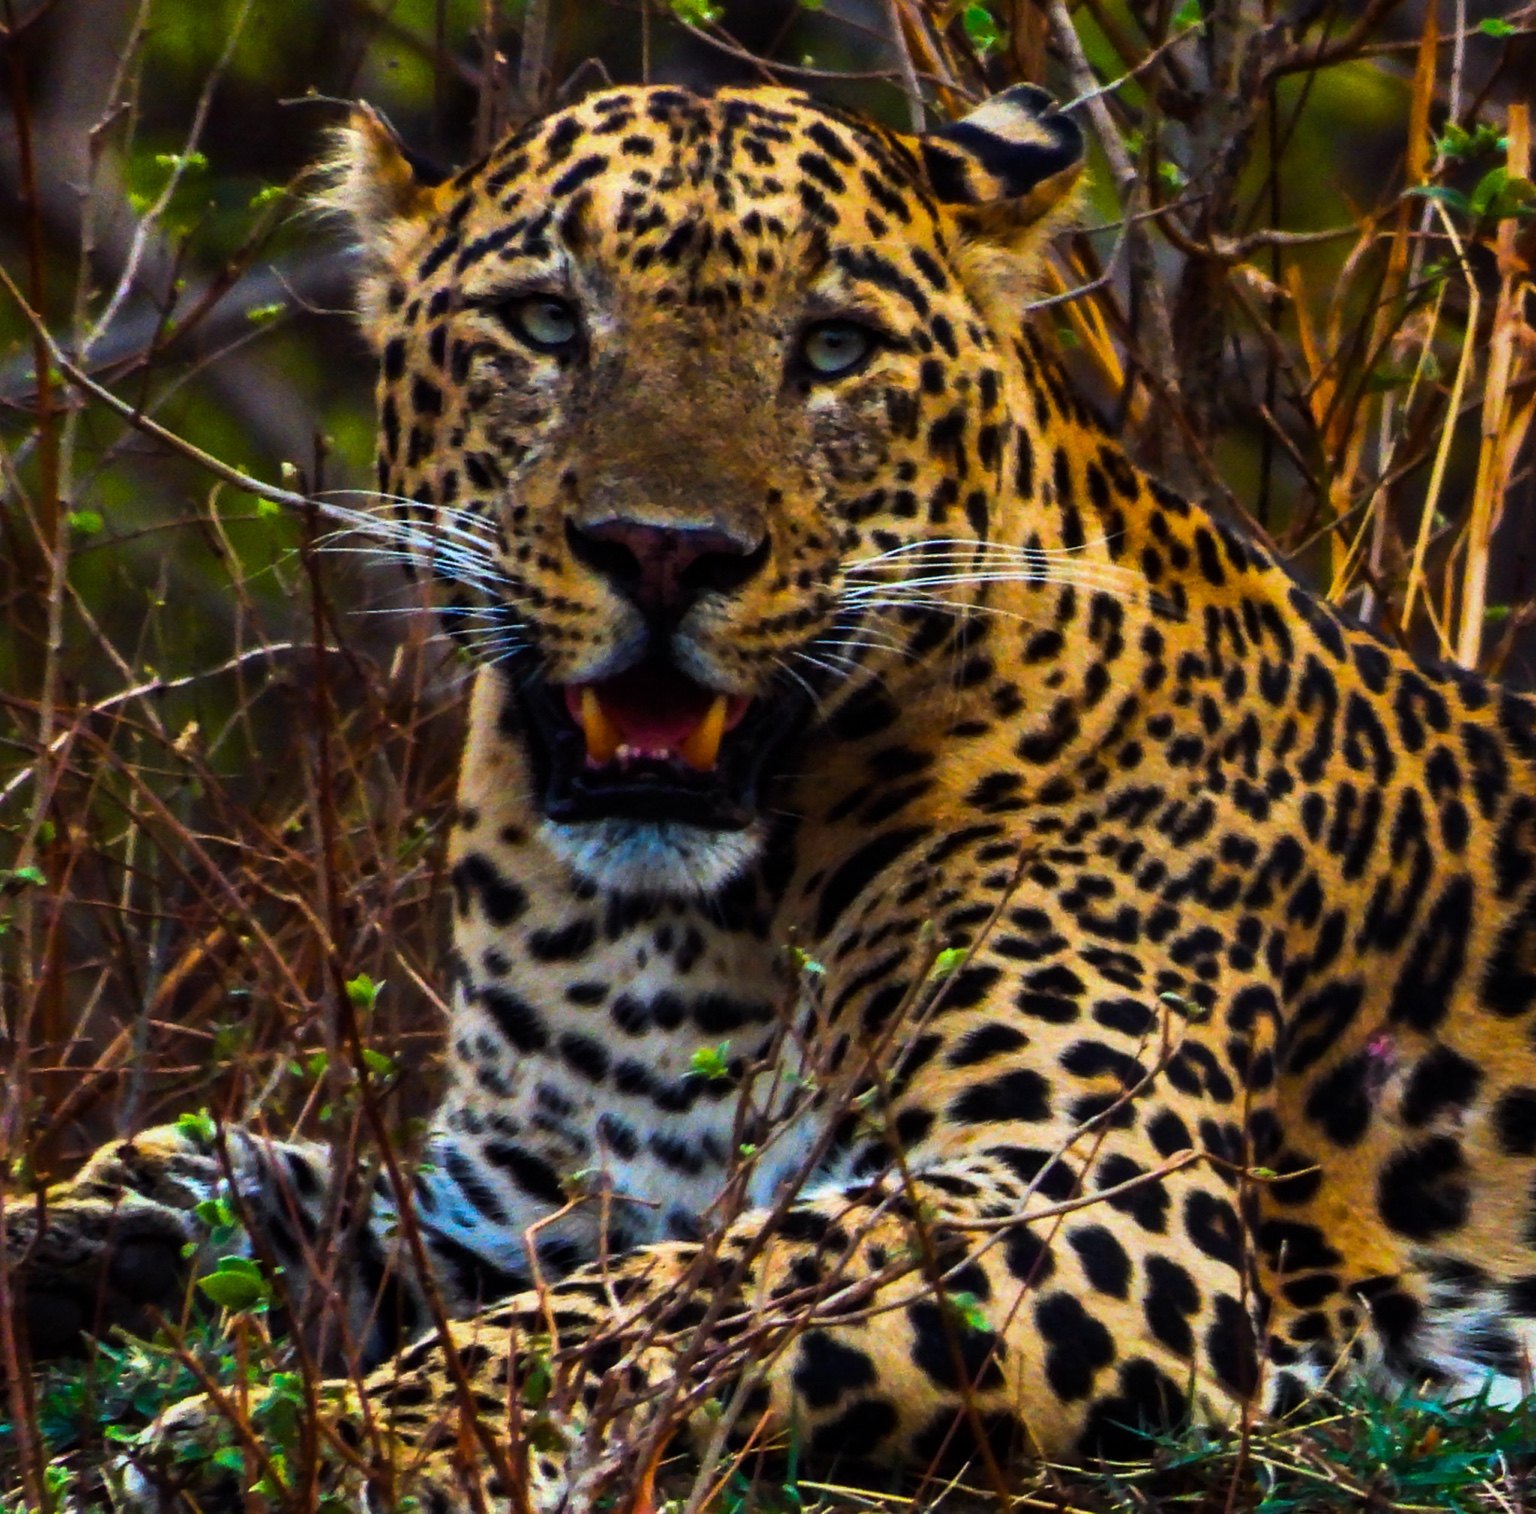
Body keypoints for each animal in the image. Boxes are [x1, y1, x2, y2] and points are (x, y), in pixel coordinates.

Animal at [9, 80, 1536, 1512]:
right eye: (547, 323)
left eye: (834, 348)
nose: (663, 549)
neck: (670, 930)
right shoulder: (526, 1203)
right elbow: (255, 1177)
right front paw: (76, 1238)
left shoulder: (1090, 1200)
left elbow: (679, 1295)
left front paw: (299, 1442)